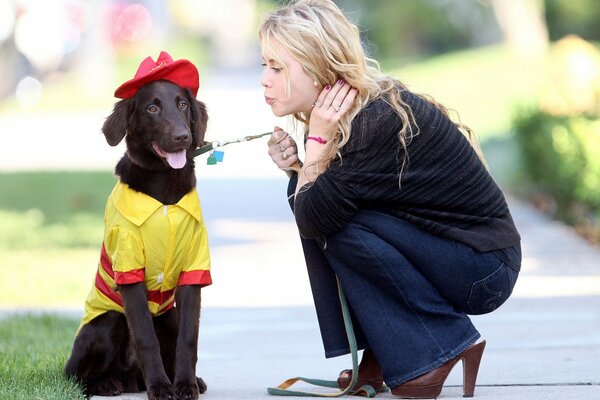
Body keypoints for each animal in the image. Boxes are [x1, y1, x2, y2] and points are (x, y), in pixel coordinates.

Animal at [64, 50, 211, 400]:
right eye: (152, 108)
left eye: (182, 105)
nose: (182, 137)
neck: (164, 188)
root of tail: (132, 379)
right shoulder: (129, 271)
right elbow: (145, 337)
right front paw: (161, 387)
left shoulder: (193, 271)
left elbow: (189, 339)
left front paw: (185, 384)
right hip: (107, 322)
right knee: (75, 376)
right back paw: (108, 383)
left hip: (169, 315)